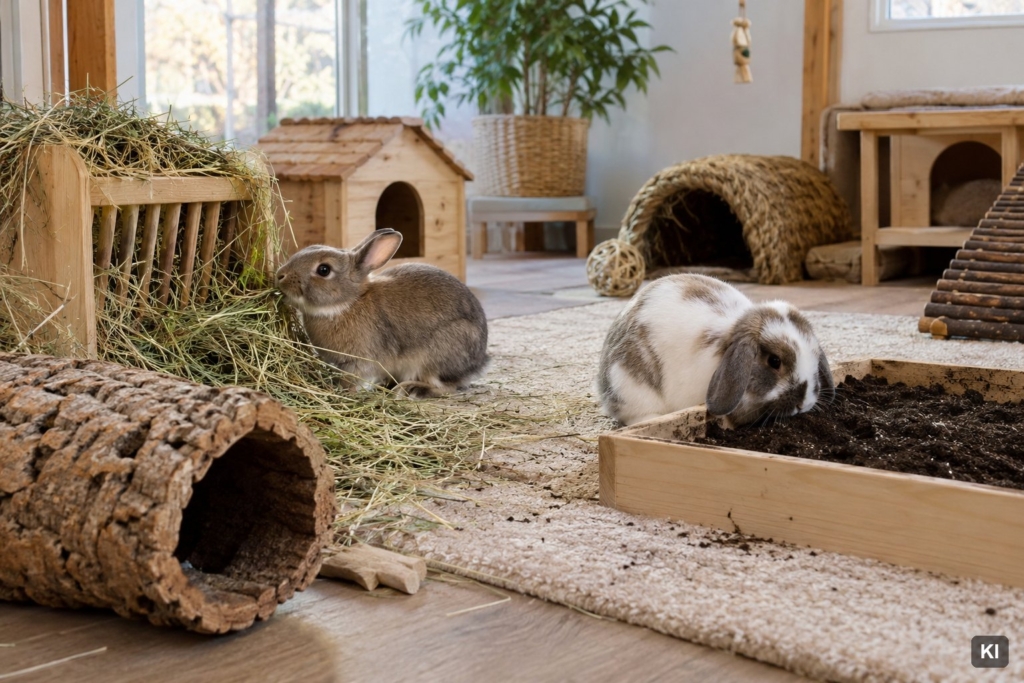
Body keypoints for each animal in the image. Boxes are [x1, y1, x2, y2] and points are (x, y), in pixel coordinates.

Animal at [276, 228, 489, 395]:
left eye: (324, 269)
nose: (280, 276)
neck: (348, 303)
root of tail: (479, 362)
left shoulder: (359, 362)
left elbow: (352, 380)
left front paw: (344, 393)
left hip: (438, 355)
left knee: (446, 387)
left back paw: (411, 390)